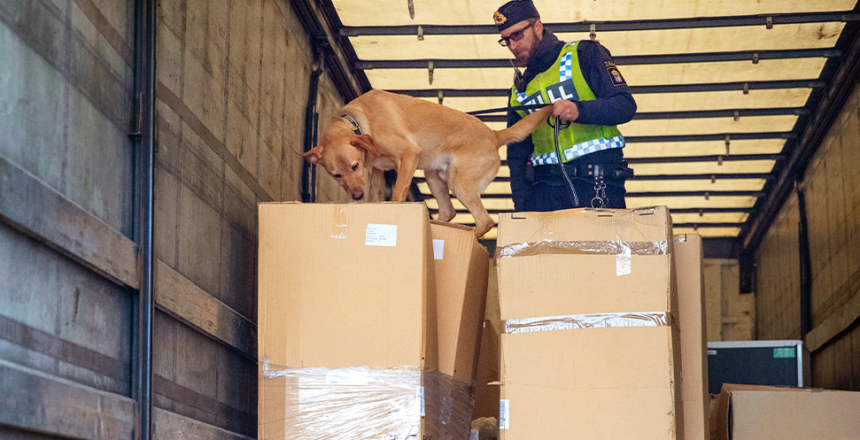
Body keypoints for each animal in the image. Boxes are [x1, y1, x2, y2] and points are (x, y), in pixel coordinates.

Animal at [306, 89, 556, 237]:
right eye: (337, 175)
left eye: (355, 166)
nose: (356, 196)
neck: (359, 120)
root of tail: (495, 135)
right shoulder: (377, 169)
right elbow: (376, 194)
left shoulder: (408, 154)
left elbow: (397, 195)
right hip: (434, 176)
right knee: (449, 212)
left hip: (459, 182)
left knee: (485, 221)